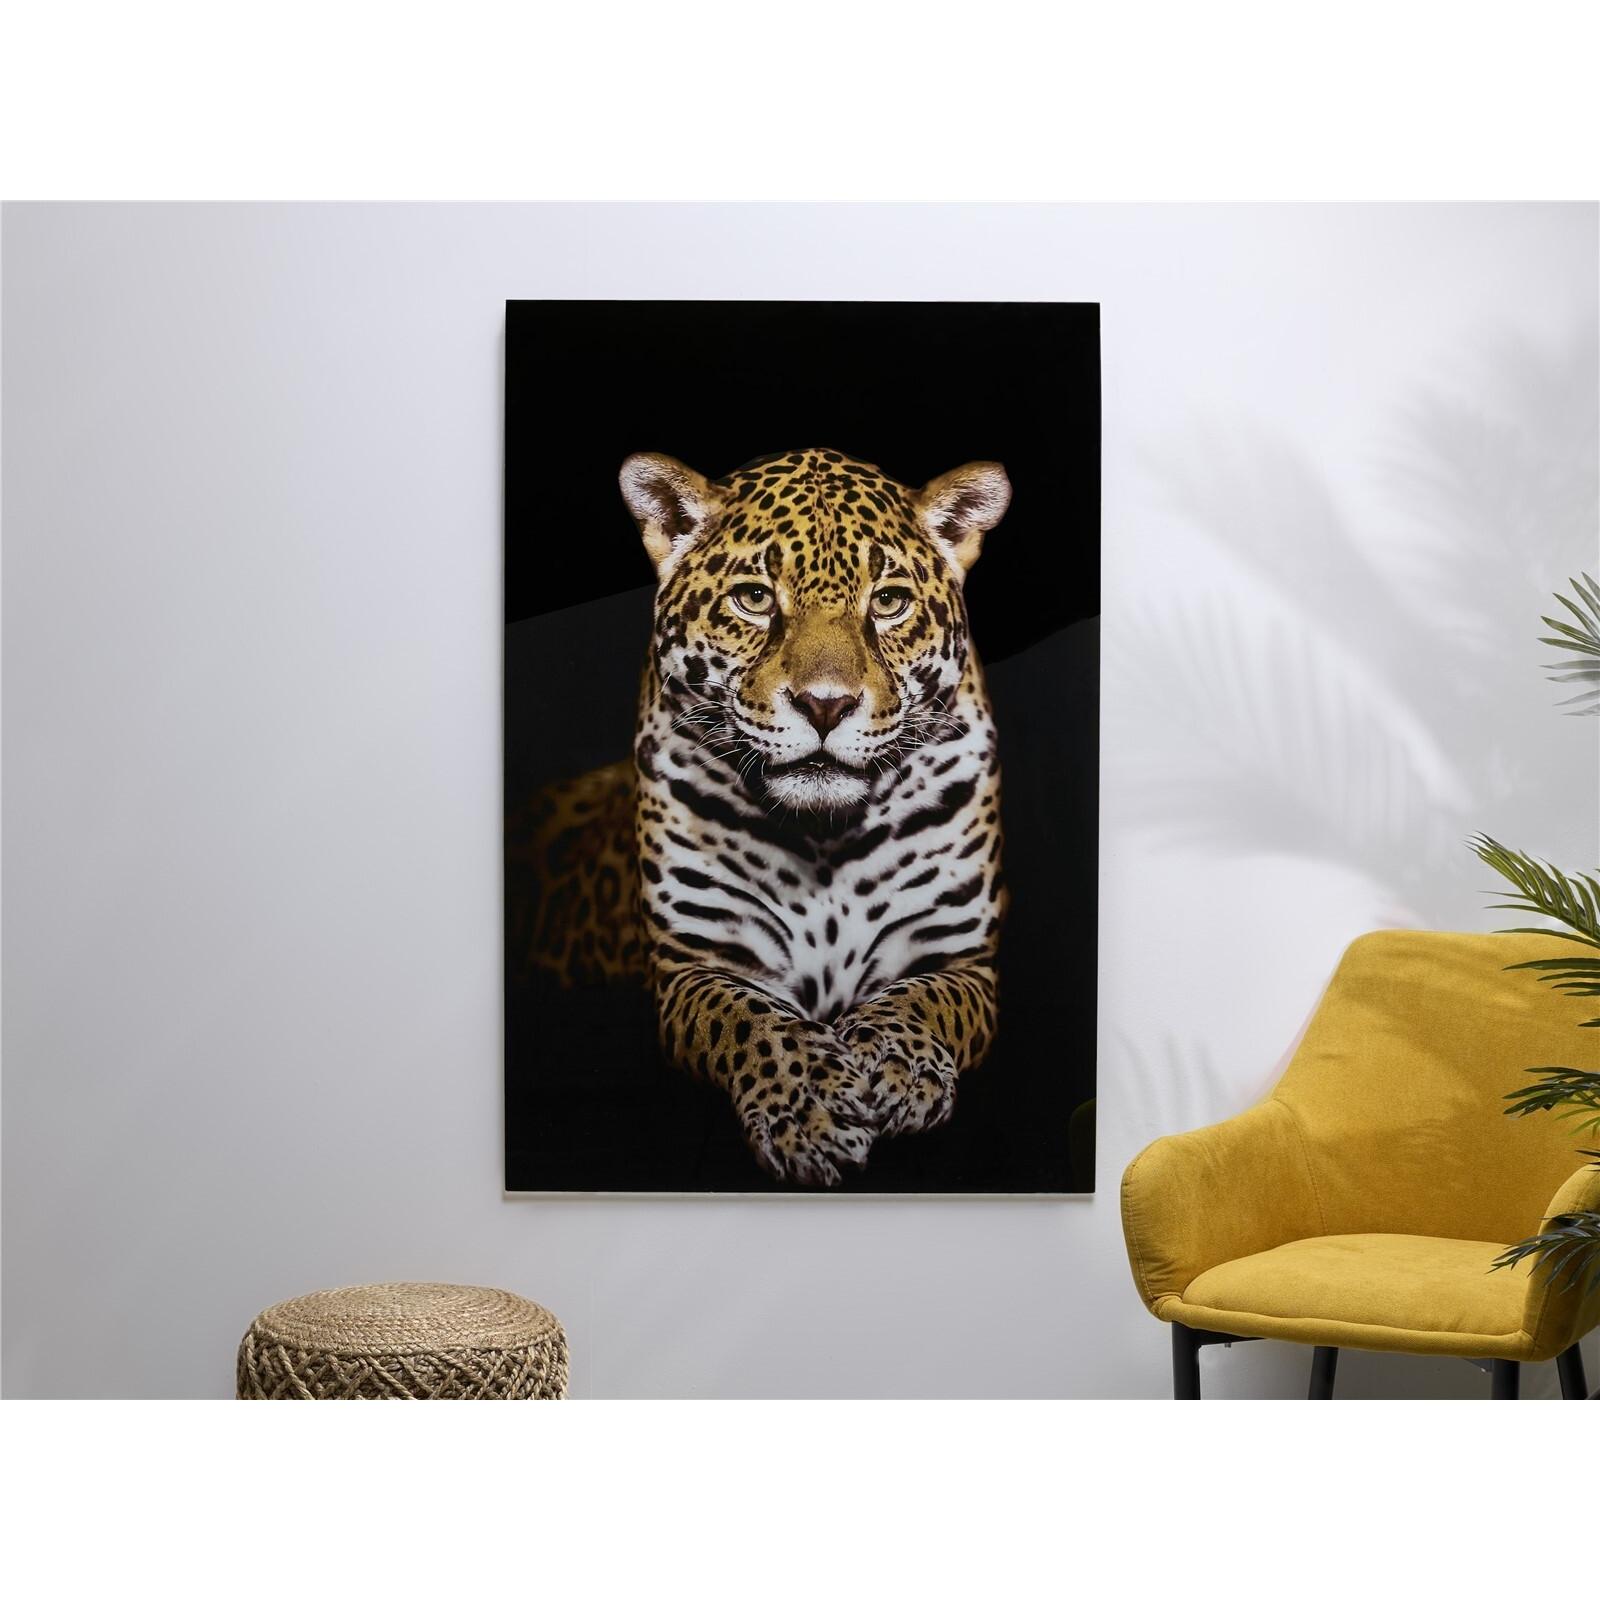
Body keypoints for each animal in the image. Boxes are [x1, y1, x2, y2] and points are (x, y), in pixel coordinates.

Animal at [517, 447, 1011, 1187]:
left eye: (888, 602)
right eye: (753, 598)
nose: (825, 704)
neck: (824, 836)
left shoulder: (962, 958)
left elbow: (923, 1000)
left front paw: (899, 1069)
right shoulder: (694, 965)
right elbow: (752, 1022)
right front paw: (813, 1109)